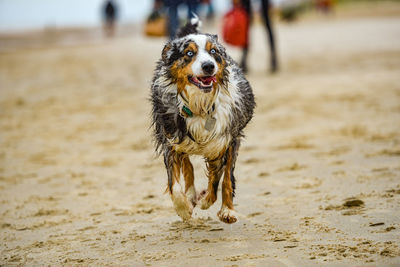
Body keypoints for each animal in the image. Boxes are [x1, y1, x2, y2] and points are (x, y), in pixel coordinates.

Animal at [150, 17, 256, 225]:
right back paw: (191, 195)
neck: (200, 104)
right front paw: (183, 208)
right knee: (187, 165)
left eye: (213, 51)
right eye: (189, 53)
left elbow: (223, 178)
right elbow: (174, 183)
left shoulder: (227, 139)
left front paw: (223, 208)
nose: (208, 66)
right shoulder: (171, 139)